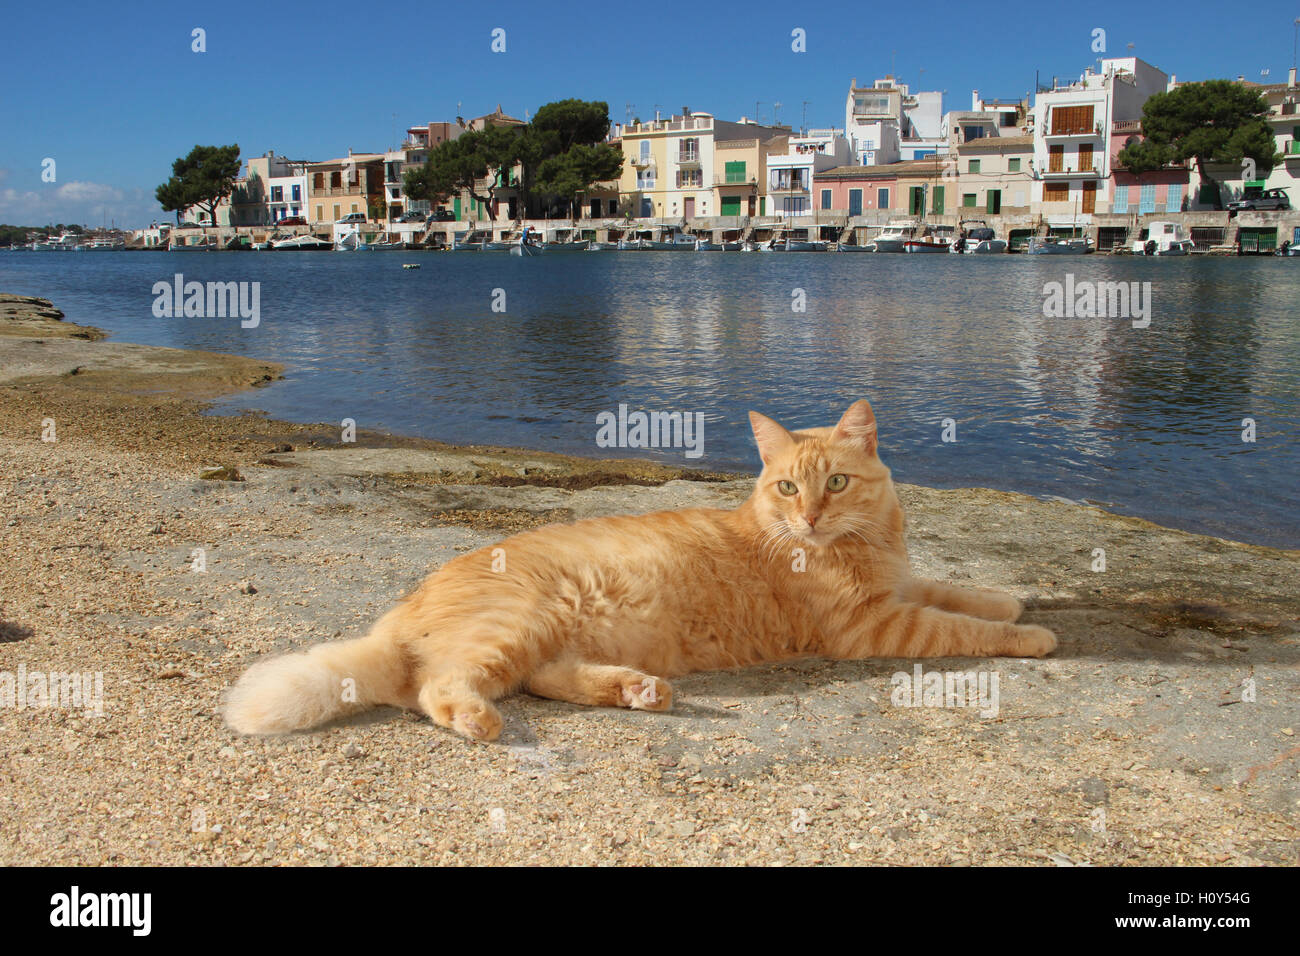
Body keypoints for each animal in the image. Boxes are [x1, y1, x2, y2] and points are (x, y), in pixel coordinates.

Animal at [223, 400, 1055, 743]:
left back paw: (637, 690)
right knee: (439, 689)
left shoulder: (899, 587)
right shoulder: (874, 624)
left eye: (837, 483)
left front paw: (1009, 600)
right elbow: (955, 628)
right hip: (518, 623)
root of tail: (399, 613)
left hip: (542, 639)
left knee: (545, 679)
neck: (862, 543)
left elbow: (955, 591)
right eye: (788, 488)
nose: (810, 518)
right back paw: (481, 721)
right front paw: (1035, 636)